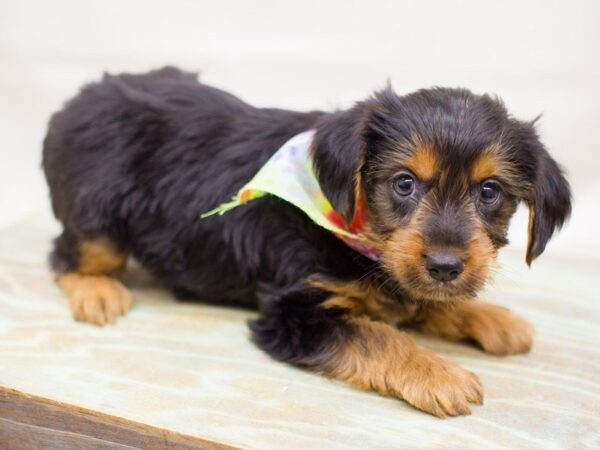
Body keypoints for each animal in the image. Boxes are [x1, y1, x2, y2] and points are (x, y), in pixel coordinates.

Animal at [43, 67, 572, 418]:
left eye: (490, 192)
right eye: (404, 184)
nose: (445, 264)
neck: (356, 228)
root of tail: (79, 100)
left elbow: (421, 298)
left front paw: (491, 317)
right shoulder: (292, 313)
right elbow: (376, 334)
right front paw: (436, 373)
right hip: (100, 215)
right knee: (69, 253)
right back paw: (96, 291)